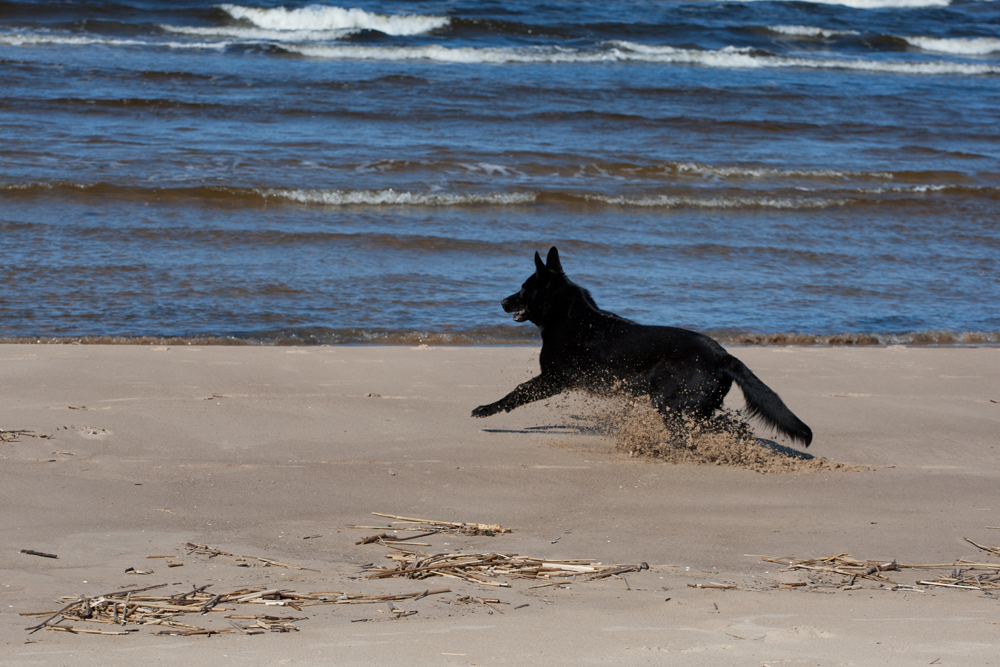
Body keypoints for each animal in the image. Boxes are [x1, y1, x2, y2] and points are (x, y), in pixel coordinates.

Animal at [471, 247, 812, 447]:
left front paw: (486, 409)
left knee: (686, 435)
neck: (566, 314)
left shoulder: (554, 378)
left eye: (522, 288)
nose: (501, 302)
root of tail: (722, 355)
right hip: (697, 405)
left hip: (668, 401)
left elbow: (517, 392)